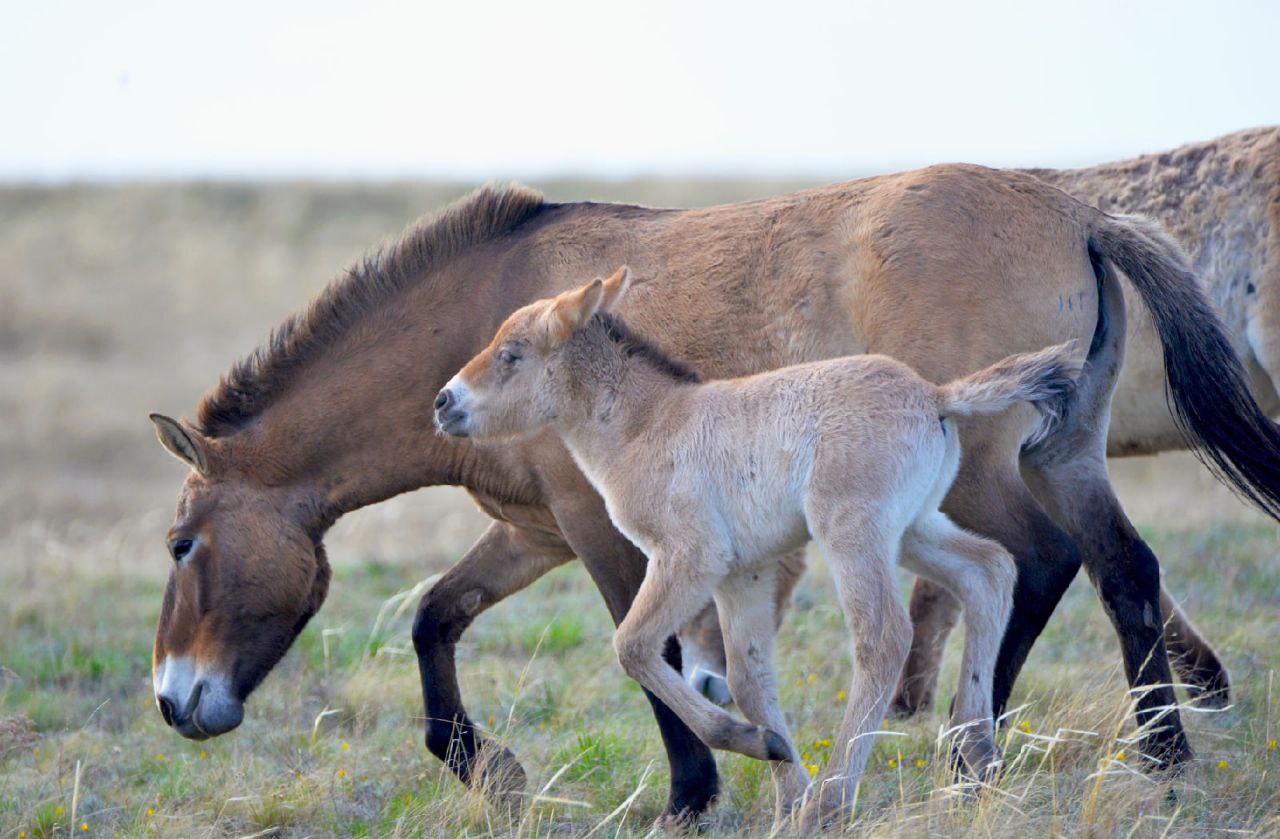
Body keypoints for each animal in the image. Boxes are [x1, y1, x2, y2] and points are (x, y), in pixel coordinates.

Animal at [432, 268, 1080, 824]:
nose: (444, 402)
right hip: (914, 528)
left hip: (853, 533)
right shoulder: (740, 573)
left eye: (512, 354)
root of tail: (936, 396)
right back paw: (977, 761)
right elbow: (749, 678)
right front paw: (784, 783)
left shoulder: (689, 557)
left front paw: (758, 752)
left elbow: (633, 647)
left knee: (883, 635)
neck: (646, 425)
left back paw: (835, 800)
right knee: (988, 571)